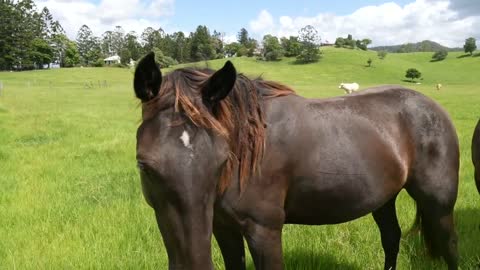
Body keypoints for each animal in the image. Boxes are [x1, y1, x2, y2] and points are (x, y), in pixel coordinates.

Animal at [133, 51, 460, 268]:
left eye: (222, 161)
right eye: (144, 166)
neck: (250, 149)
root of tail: (433, 107)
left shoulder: (264, 231)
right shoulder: (223, 229)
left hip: (438, 203)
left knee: (449, 246)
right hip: (383, 199)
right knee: (392, 239)